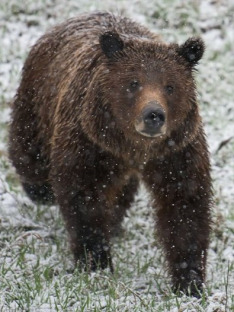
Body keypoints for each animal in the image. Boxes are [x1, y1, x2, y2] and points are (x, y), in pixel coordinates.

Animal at [8, 11, 212, 296]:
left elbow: (185, 204)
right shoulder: (88, 142)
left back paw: (113, 221)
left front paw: (189, 281)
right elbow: (82, 196)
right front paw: (96, 261)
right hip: (37, 101)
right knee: (29, 154)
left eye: (170, 86)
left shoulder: (177, 150)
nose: (154, 115)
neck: (133, 147)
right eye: (133, 82)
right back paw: (41, 189)